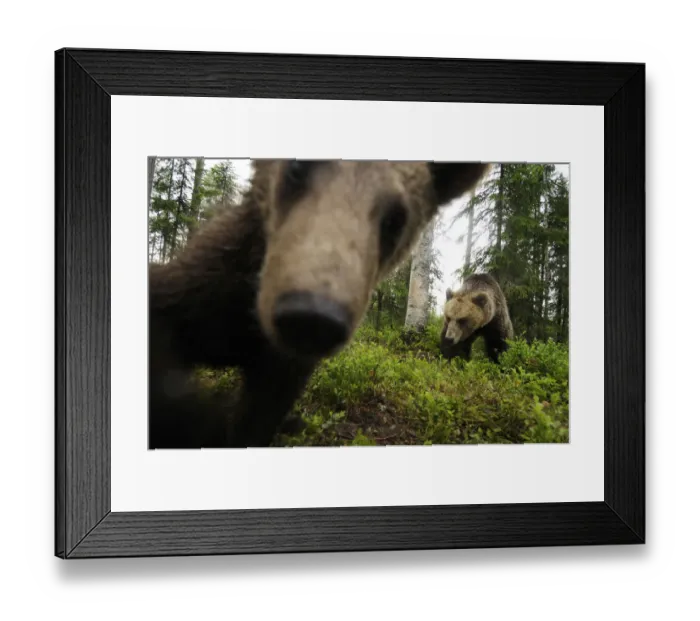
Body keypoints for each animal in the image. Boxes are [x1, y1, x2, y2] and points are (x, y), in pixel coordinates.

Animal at [148, 159, 492, 449]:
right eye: (297, 167)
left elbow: (258, 417)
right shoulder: (205, 288)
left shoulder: (282, 369)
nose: (311, 315)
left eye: (396, 219)